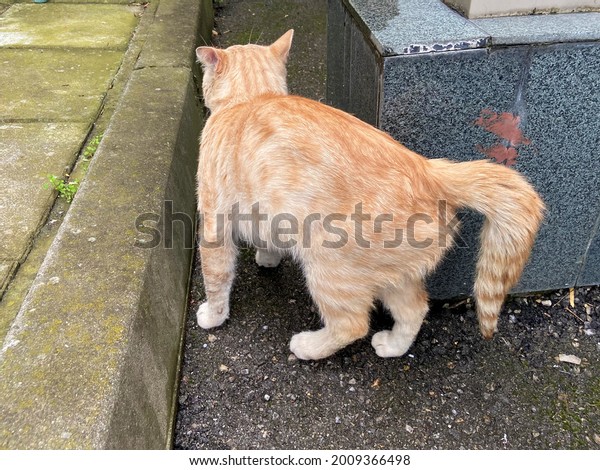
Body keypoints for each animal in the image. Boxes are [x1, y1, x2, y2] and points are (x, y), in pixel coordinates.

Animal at [193, 30, 544, 360]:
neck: (252, 97)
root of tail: (427, 169)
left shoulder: (214, 225)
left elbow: (216, 278)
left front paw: (213, 316)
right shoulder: (265, 211)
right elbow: (266, 238)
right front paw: (268, 256)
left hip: (329, 268)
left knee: (352, 324)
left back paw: (308, 346)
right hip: (392, 275)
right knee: (416, 309)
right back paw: (393, 346)